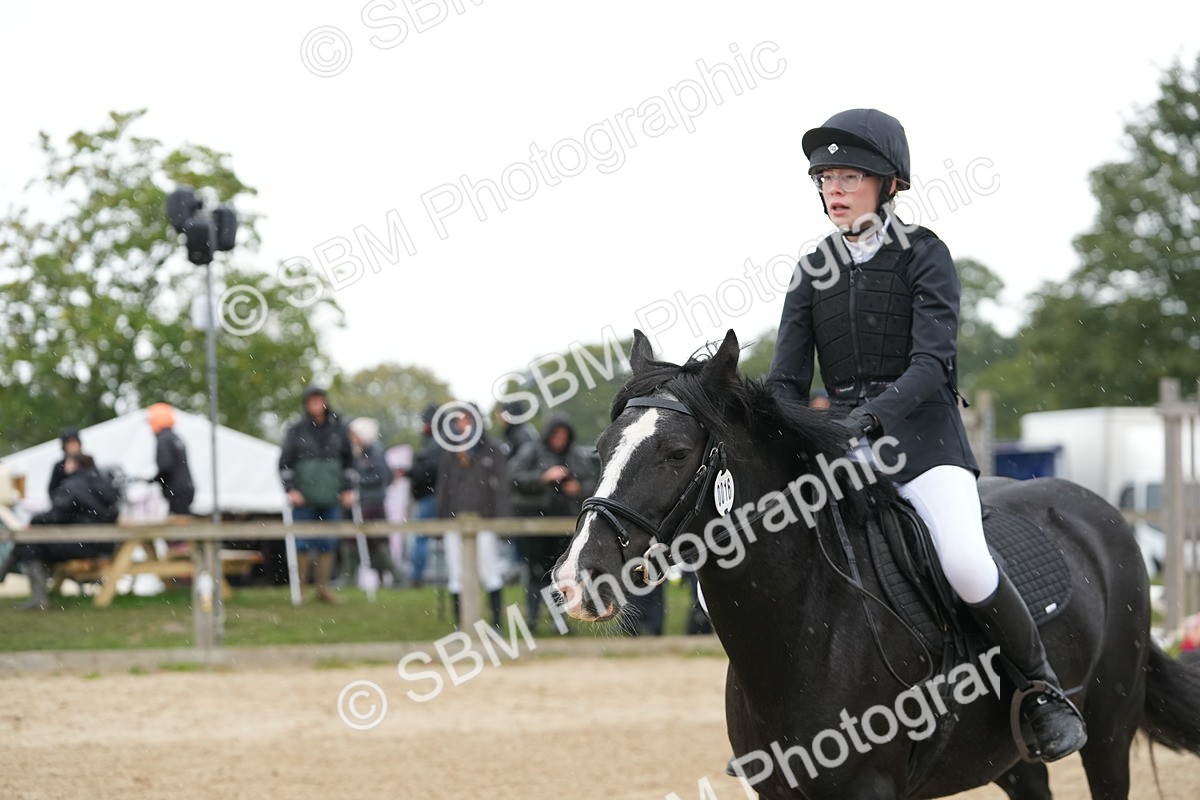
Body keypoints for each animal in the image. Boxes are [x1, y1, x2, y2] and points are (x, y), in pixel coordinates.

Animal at [552, 329, 1200, 799]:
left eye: (676, 452)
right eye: (600, 450)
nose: (577, 579)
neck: (800, 629)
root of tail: (1098, 511)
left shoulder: (868, 789)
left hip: (1109, 731)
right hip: (1011, 757)